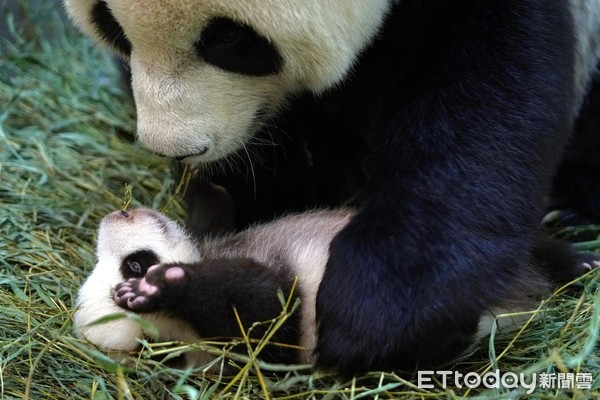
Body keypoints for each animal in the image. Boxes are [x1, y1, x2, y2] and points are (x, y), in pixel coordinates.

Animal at [63, 0, 600, 376]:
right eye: (115, 30)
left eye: (230, 38)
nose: (119, 215)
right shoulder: (261, 328)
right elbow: (267, 309)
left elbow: (492, 78)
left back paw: (576, 256)